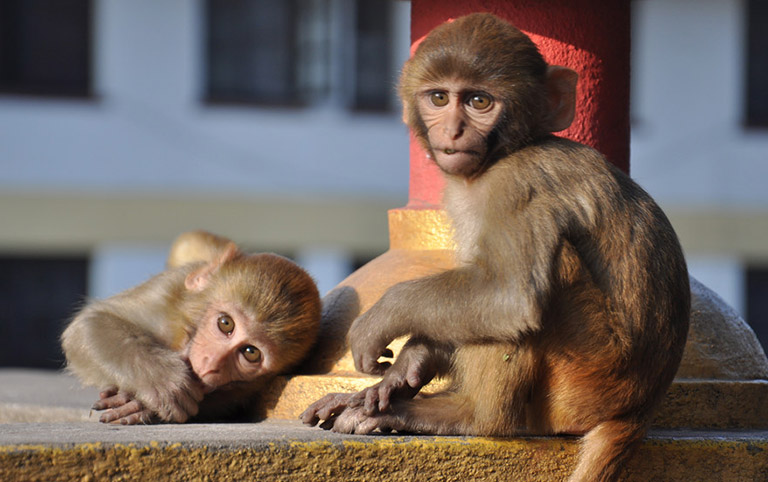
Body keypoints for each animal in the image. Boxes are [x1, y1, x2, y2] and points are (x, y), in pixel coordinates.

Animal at [62, 231, 321, 424]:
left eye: (251, 353)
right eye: (226, 324)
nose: (211, 364)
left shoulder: (251, 388)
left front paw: (139, 406)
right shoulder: (167, 290)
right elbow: (88, 324)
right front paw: (162, 381)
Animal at [301, 13, 690, 482]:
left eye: (479, 102)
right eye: (439, 97)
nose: (453, 130)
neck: (508, 151)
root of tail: (637, 412)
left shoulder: (516, 184)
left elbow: (509, 295)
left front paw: (384, 319)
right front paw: (406, 367)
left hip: (583, 387)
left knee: (541, 283)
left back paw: (465, 415)